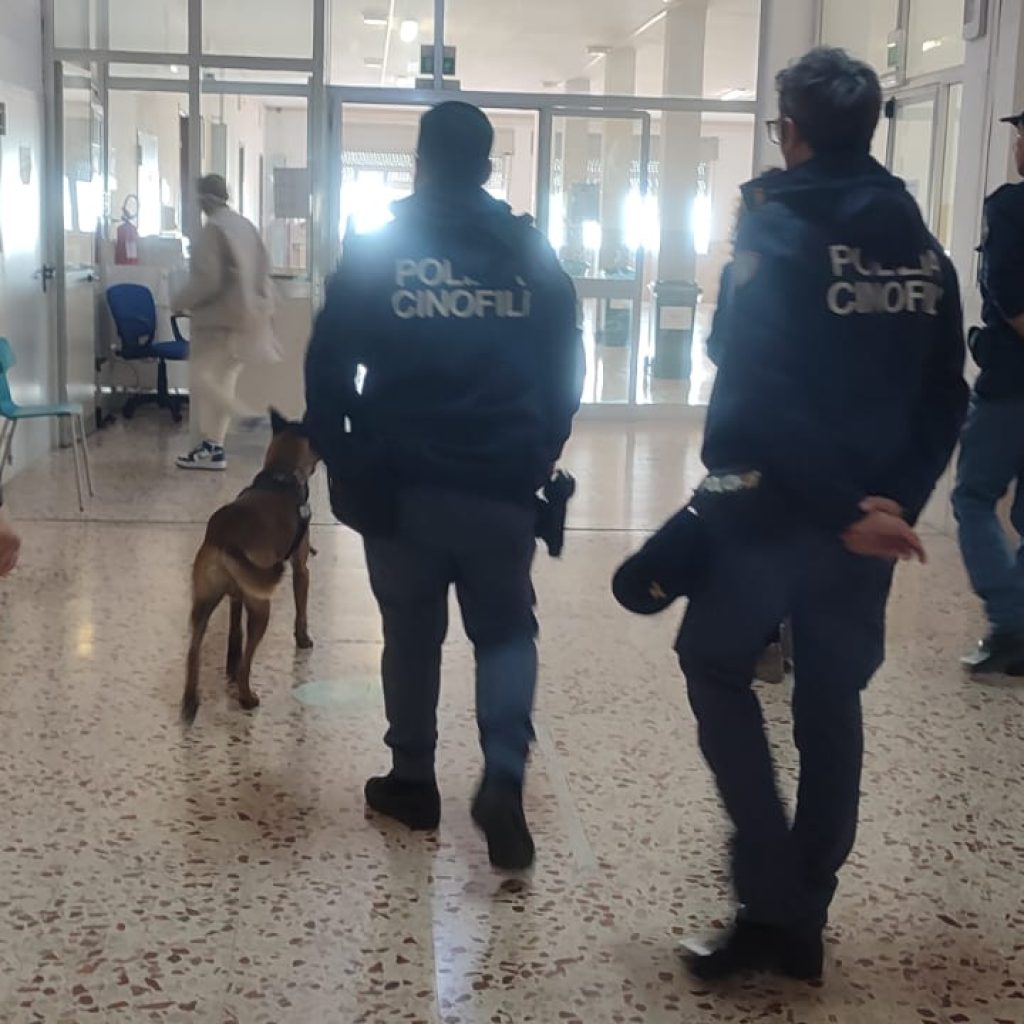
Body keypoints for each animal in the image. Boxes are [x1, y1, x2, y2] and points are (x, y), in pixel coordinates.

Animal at [181, 410, 318, 724]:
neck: (281, 474)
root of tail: (224, 537)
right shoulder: (301, 569)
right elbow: (301, 610)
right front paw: (303, 639)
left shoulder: (236, 594)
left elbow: (234, 632)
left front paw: (229, 661)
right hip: (261, 607)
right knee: (248, 661)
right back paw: (246, 697)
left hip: (203, 602)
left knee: (194, 650)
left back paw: (190, 701)